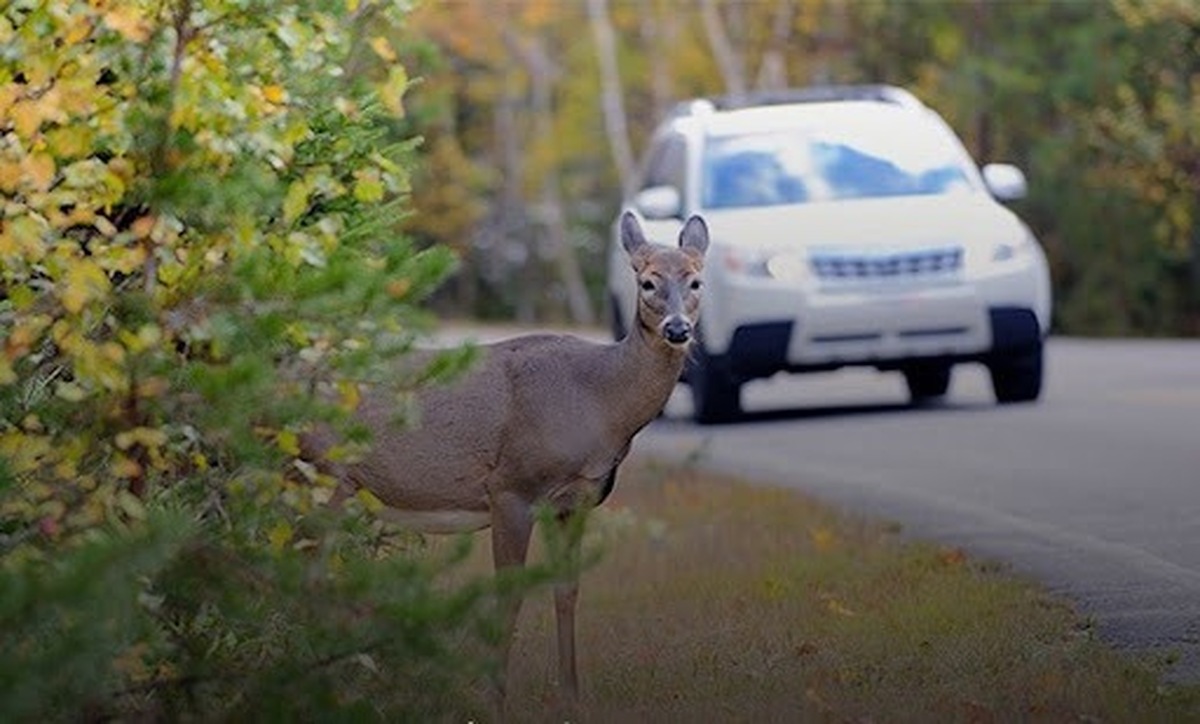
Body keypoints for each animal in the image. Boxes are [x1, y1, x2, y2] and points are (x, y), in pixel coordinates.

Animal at [304, 211, 705, 715]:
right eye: (648, 282)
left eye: (696, 281)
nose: (678, 329)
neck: (597, 399)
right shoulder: (512, 487)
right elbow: (508, 595)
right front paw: (495, 698)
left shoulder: (575, 500)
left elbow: (567, 590)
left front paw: (571, 695)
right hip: (323, 473)